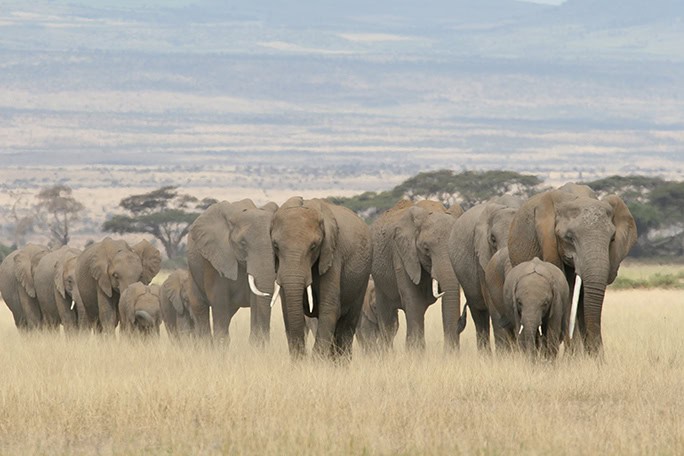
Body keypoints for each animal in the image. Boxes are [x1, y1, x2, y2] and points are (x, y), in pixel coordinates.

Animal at [186, 199, 278, 346]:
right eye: (243, 243)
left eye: (276, 244)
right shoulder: (215, 259)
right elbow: (219, 300)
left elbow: (255, 301)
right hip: (193, 272)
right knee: (200, 308)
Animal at [270, 197, 372, 360]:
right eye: (275, 245)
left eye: (313, 246)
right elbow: (288, 309)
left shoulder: (333, 254)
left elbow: (329, 307)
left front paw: (316, 362)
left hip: (363, 279)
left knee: (346, 326)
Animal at [367, 199, 465, 351]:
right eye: (426, 249)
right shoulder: (401, 253)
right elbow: (413, 300)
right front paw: (415, 353)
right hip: (379, 279)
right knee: (387, 318)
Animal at [507, 185, 637, 356]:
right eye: (569, 237)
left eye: (612, 239)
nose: (600, 356)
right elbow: (568, 296)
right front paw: (575, 357)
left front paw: (590, 358)